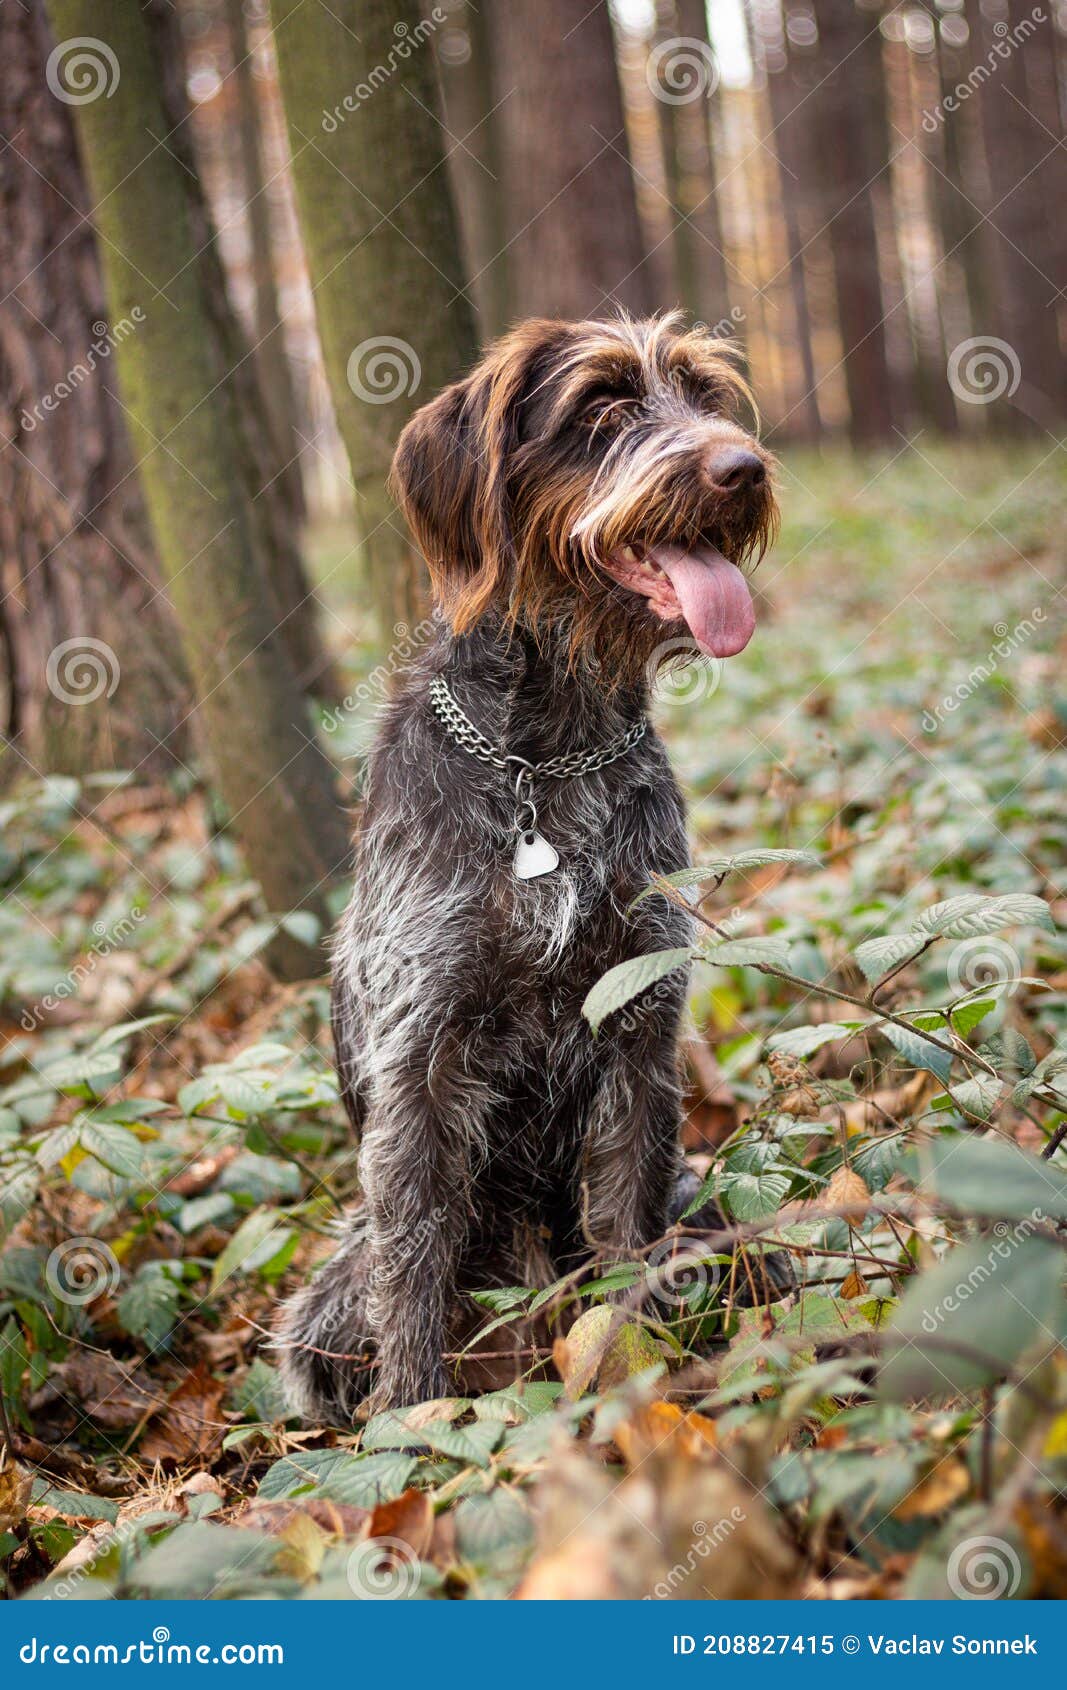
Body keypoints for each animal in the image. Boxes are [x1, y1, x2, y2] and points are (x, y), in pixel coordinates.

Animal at [270, 310, 781, 1419]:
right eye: (600, 406)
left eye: (704, 396)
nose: (743, 469)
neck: (545, 760)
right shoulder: (419, 1056)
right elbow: (414, 1263)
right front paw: (412, 1424)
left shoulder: (638, 1027)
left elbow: (623, 1224)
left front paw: (633, 1357)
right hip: (321, 1307)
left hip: (704, 1190)